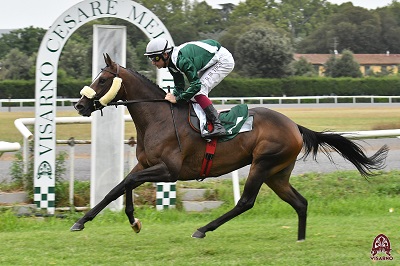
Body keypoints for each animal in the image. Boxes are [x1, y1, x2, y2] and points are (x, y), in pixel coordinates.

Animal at [71, 54, 388, 241]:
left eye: (102, 79)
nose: (80, 105)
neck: (158, 116)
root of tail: (294, 125)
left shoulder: (169, 171)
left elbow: (127, 182)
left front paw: (122, 220)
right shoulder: (147, 164)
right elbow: (119, 186)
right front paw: (104, 220)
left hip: (263, 164)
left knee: (246, 201)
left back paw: (203, 229)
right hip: (278, 173)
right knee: (300, 202)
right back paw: (300, 239)